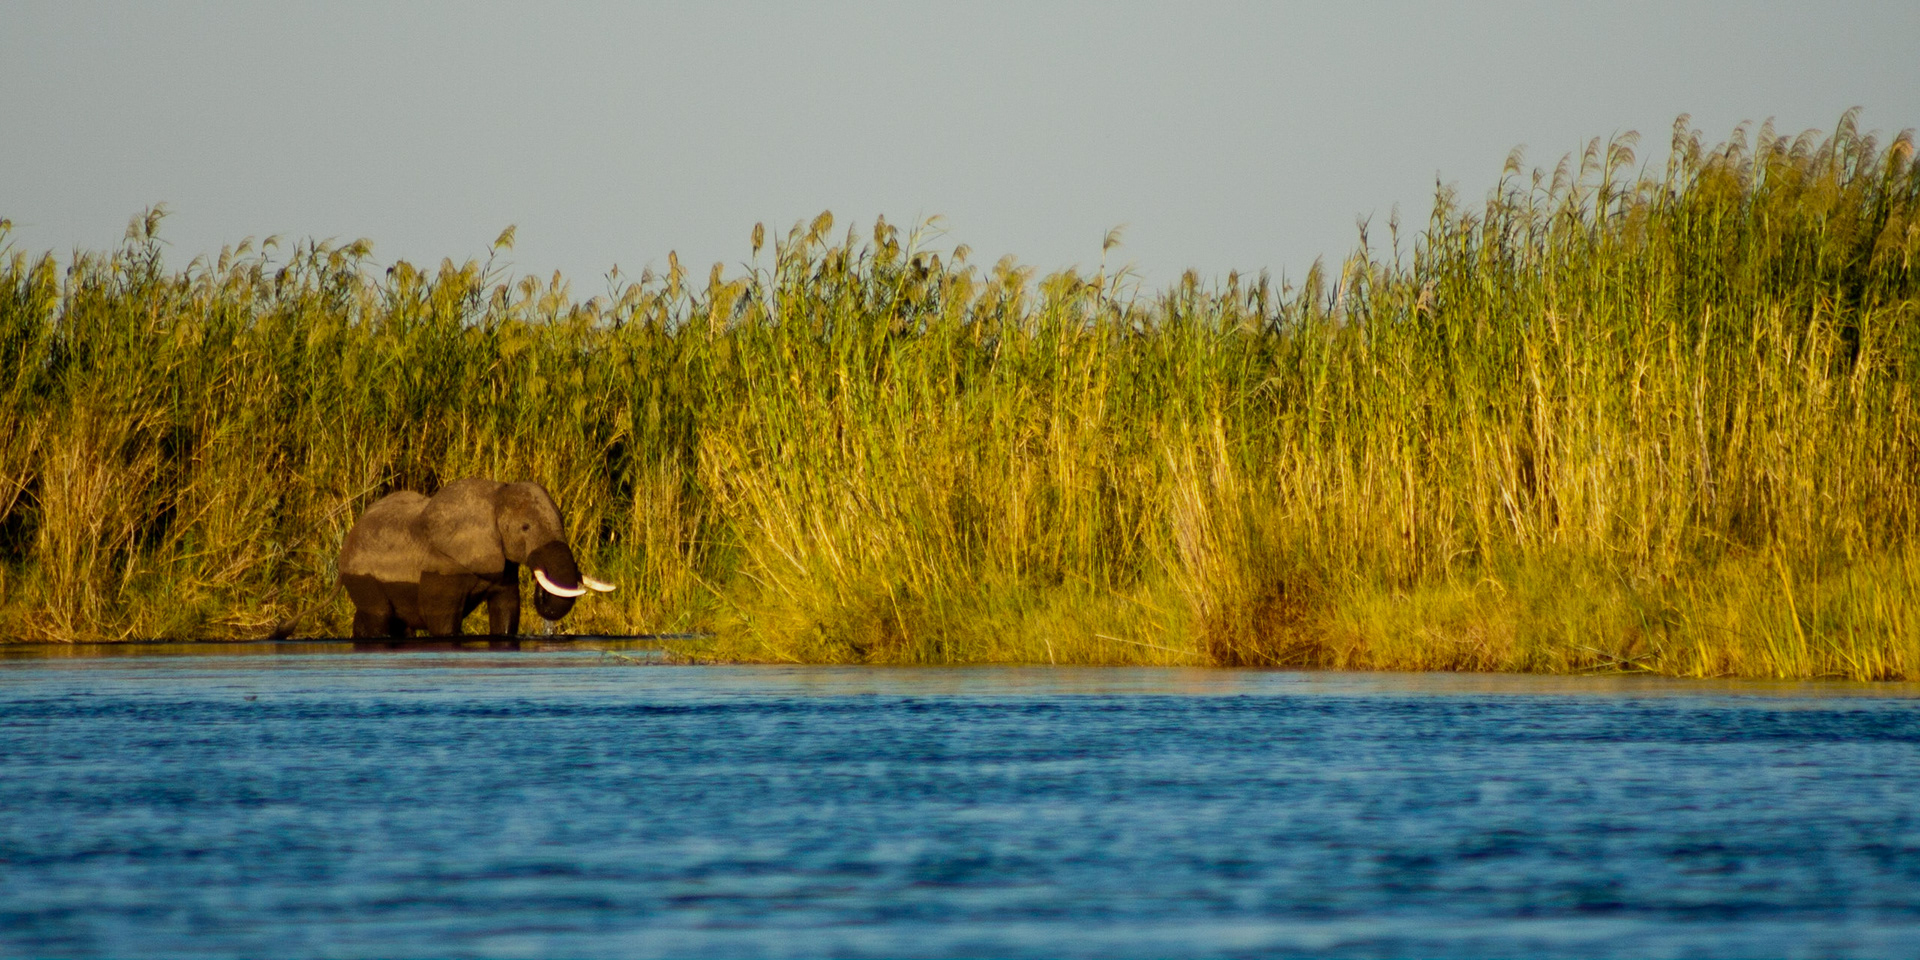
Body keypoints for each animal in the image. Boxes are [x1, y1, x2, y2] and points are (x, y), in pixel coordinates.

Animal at [337, 478, 614, 638]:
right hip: (362, 577)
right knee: (379, 617)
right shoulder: (443, 566)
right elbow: (442, 621)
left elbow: (506, 609)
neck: (496, 498)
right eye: (525, 528)